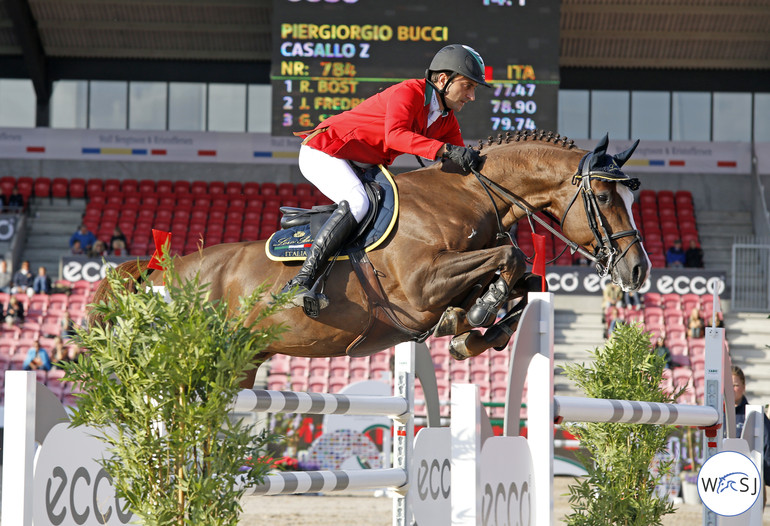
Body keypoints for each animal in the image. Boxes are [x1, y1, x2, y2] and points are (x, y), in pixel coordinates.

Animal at [91, 130, 648, 386]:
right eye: (604, 197)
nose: (638, 269)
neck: (470, 195)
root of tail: (168, 266)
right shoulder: (421, 286)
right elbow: (511, 258)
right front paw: (471, 320)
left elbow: (522, 283)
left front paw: (473, 330)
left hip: (242, 361)